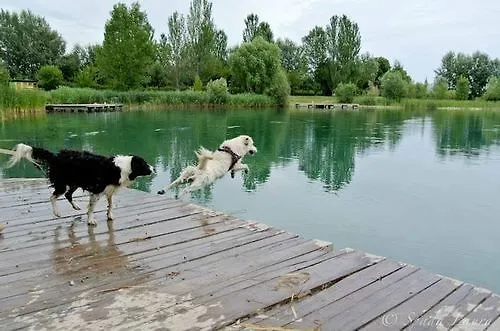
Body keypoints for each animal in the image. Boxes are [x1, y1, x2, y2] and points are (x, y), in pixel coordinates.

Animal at [0, 144, 154, 227]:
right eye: (145, 165)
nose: (154, 169)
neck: (122, 168)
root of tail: (56, 157)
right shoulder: (97, 190)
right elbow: (91, 208)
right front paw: (90, 220)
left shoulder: (109, 190)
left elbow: (110, 204)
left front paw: (109, 215)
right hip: (63, 183)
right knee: (53, 197)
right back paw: (57, 213)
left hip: (73, 183)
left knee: (68, 195)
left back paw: (76, 207)